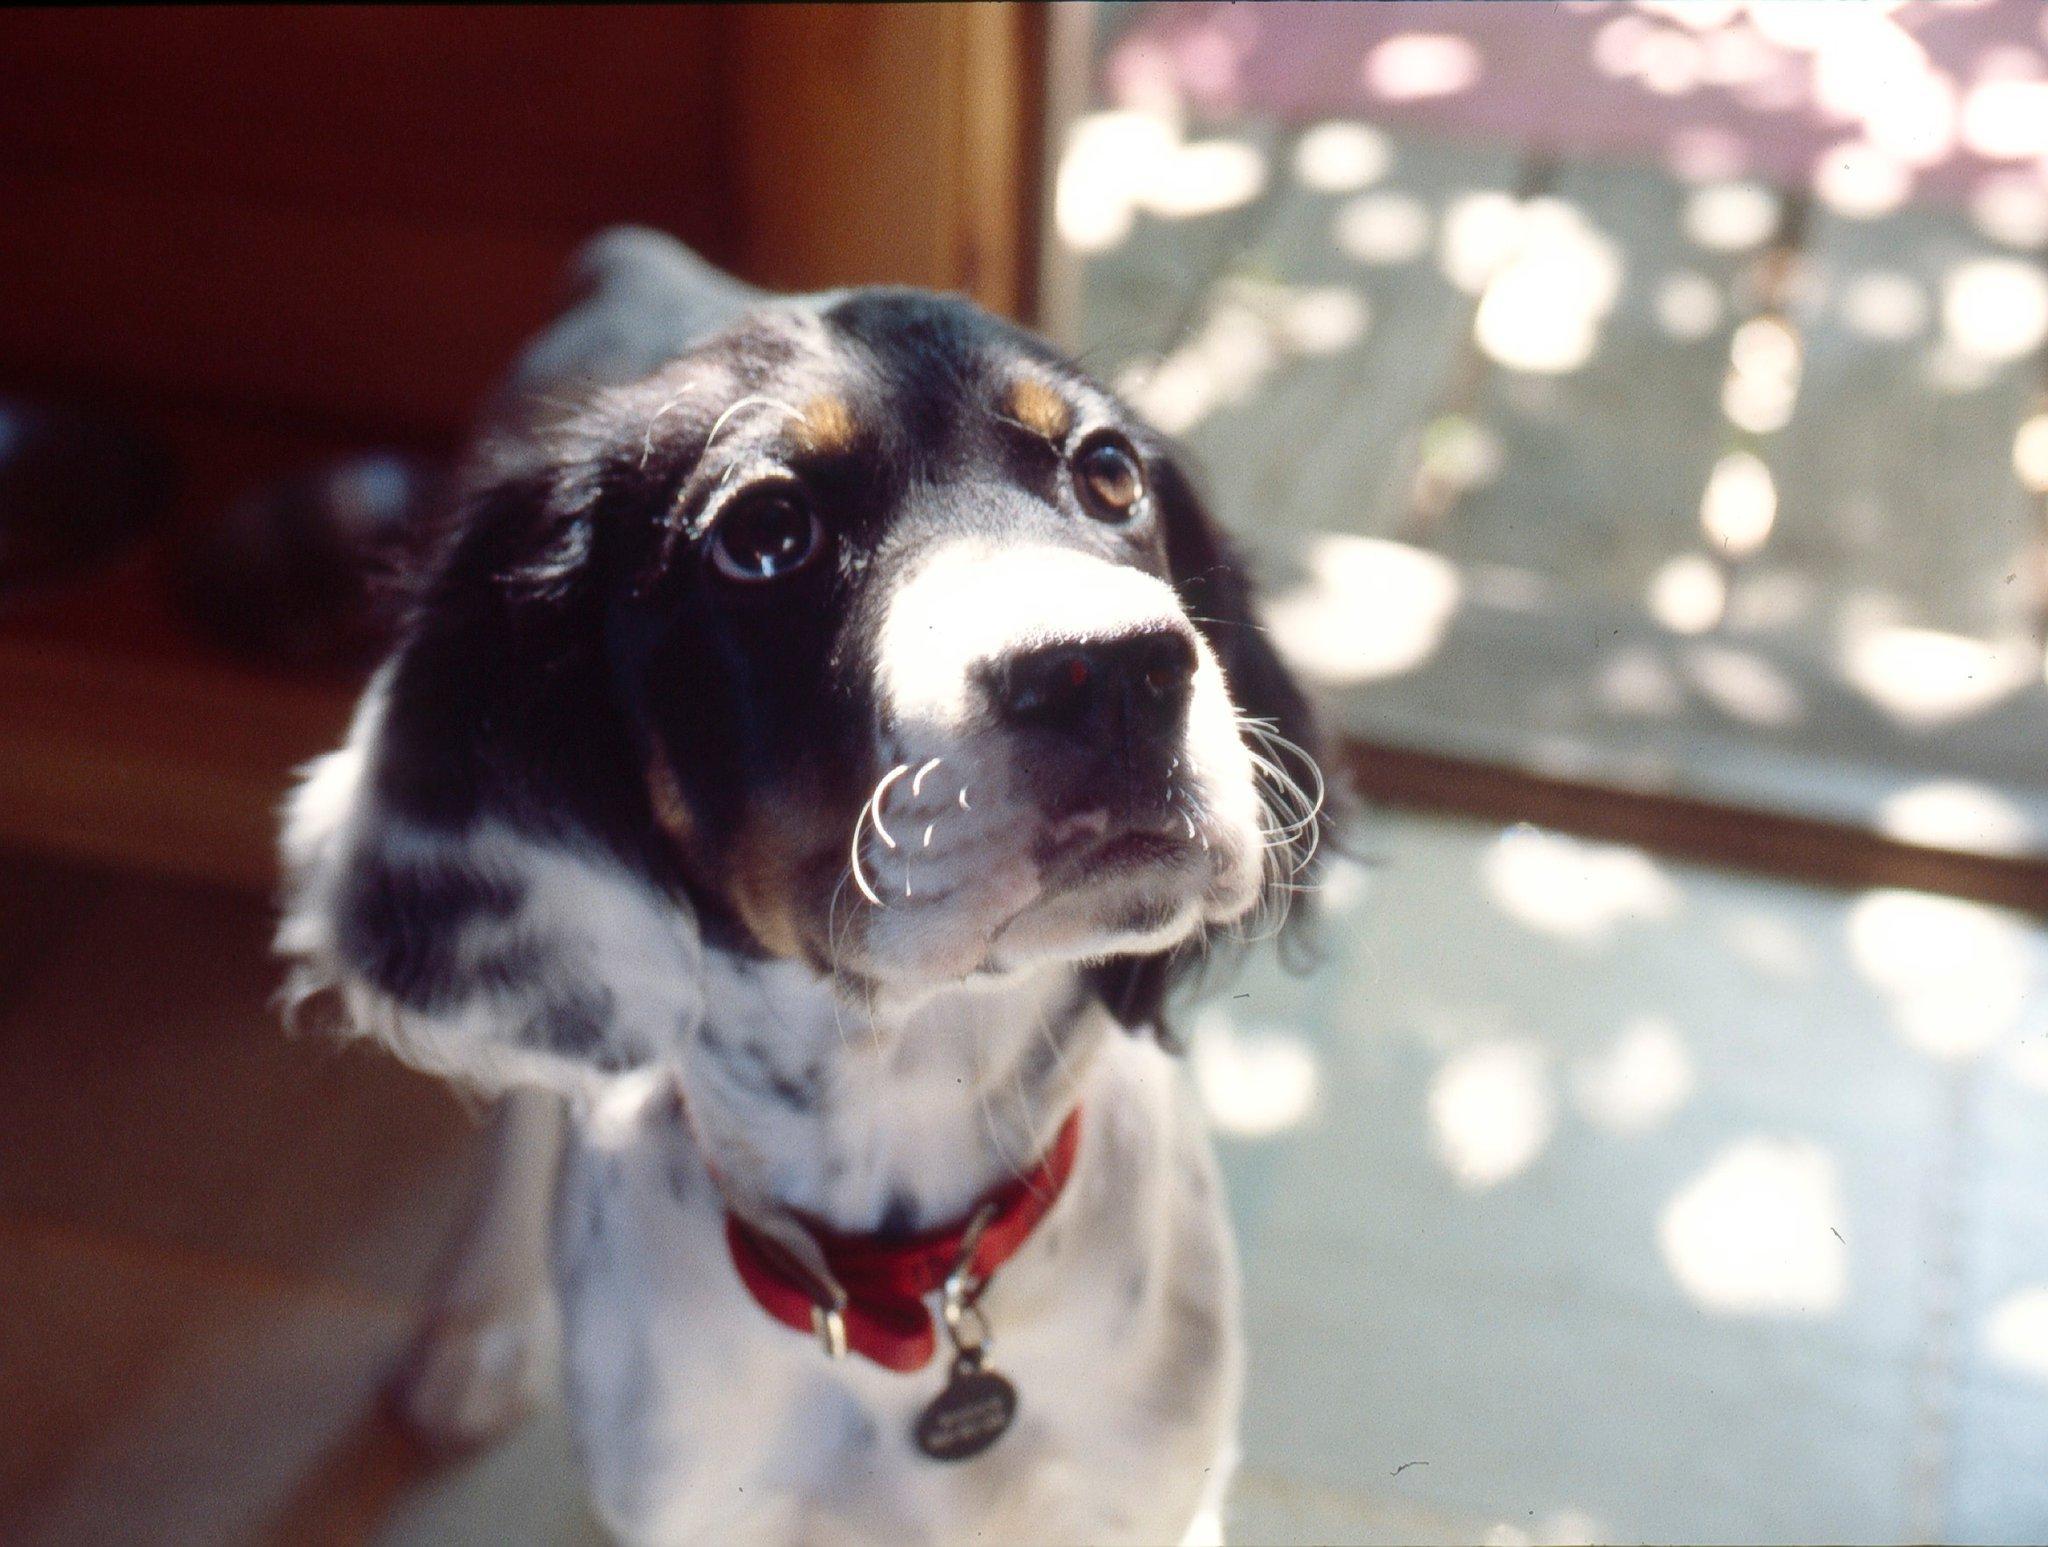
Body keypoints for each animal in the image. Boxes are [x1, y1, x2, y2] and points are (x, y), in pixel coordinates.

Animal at [276, 229, 1327, 1547]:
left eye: (1107, 473)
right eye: (766, 533)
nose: (1117, 672)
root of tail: (641, 260)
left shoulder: (1157, 1494)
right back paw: (475, 1324)